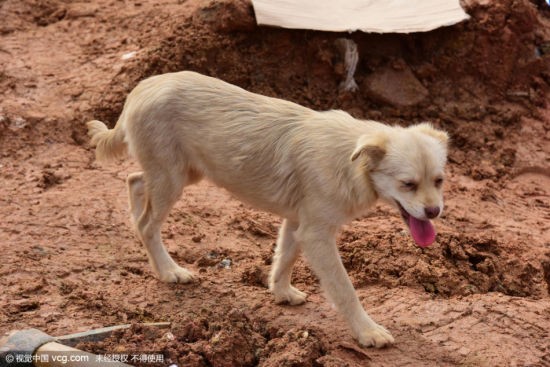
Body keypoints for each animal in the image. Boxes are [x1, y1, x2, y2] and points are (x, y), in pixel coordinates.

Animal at [86, 71, 448, 348]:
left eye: (439, 181)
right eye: (408, 184)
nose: (434, 212)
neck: (353, 163)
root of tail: (142, 88)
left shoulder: (297, 223)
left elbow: (284, 256)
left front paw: (281, 292)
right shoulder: (317, 234)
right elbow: (344, 289)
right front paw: (368, 331)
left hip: (184, 172)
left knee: (135, 182)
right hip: (172, 178)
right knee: (148, 223)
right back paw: (168, 271)